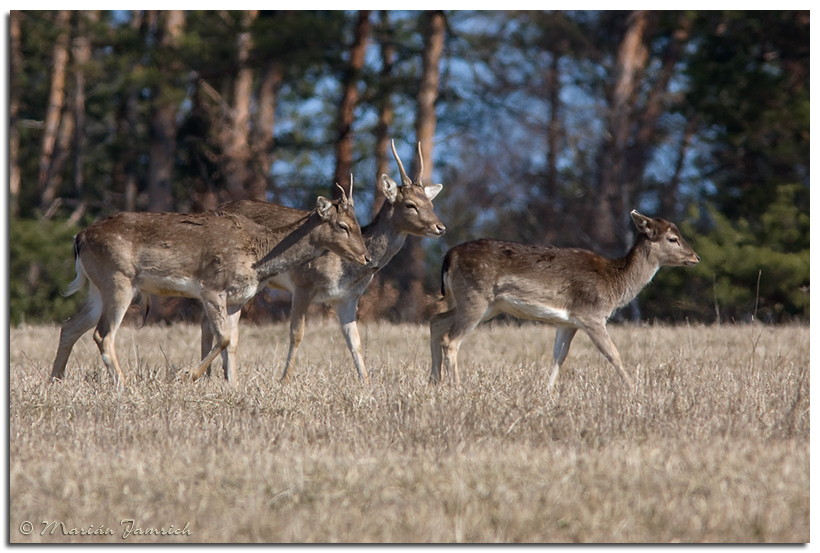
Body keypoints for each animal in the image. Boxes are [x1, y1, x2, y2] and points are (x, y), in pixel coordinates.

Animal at [50, 190, 368, 388]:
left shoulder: (239, 299)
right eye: (343, 226)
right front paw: (189, 375)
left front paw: (234, 385)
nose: (366, 257)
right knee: (103, 333)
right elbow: (224, 338)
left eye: (358, 224)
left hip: (97, 288)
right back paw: (122, 384)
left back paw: (55, 380)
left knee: (70, 326)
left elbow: (234, 341)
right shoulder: (211, 288)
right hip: (118, 280)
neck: (258, 256)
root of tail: (79, 238)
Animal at [430, 210, 700, 388]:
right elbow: (613, 353)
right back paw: (457, 387)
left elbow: (559, 355)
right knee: (451, 340)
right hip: (475, 298)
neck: (615, 284)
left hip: (484, 304)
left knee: (436, 321)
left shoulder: (568, 322)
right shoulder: (591, 315)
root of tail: (449, 256)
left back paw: (435, 380)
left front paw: (547, 390)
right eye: (672, 239)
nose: (695, 257)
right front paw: (633, 389)